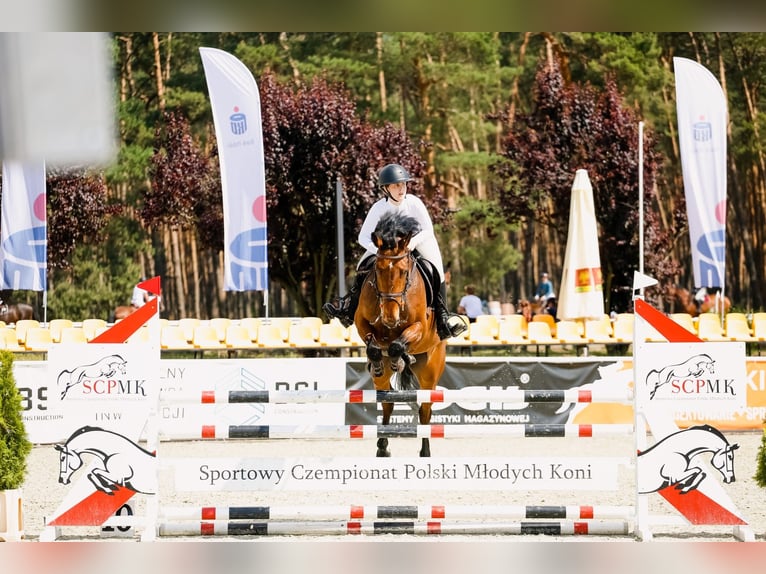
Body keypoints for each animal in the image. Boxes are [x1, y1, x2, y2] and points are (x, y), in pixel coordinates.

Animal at [356, 212, 450, 460]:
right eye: (378, 271)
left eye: (404, 272)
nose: (390, 317)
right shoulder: (361, 322)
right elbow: (374, 346)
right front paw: (379, 361)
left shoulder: (419, 326)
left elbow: (398, 344)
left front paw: (399, 357)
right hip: (384, 382)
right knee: (387, 402)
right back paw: (382, 447)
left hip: (430, 373)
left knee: (425, 409)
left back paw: (425, 451)